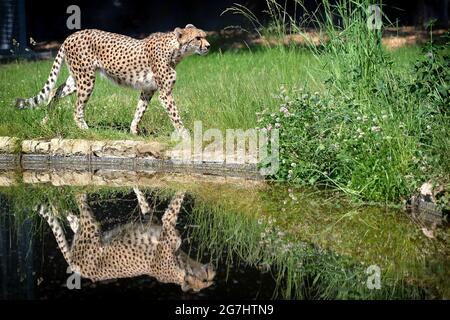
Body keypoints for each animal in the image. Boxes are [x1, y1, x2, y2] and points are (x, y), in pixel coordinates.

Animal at [14, 25, 210, 135]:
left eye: (205, 36)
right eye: (197, 38)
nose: (208, 46)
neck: (176, 50)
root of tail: (72, 35)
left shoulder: (148, 90)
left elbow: (139, 111)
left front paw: (133, 131)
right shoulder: (165, 93)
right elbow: (175, 114)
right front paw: (185, 134)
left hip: (77, 79)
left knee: (56, 91)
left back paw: (45, 120)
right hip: (86, 79)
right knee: (76, 108)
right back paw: (85, 130)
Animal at [37, 189, 215, 294]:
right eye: (206, 280)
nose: (214, 270)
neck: (182, 265)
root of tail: (76, 267)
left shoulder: (164, 223)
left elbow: (173, 203)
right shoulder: (156, 221)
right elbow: (149, 203)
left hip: (90, 230)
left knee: (77, 208)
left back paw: (59, 198)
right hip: (90, 229)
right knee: (73, 209)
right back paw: (56, 199)